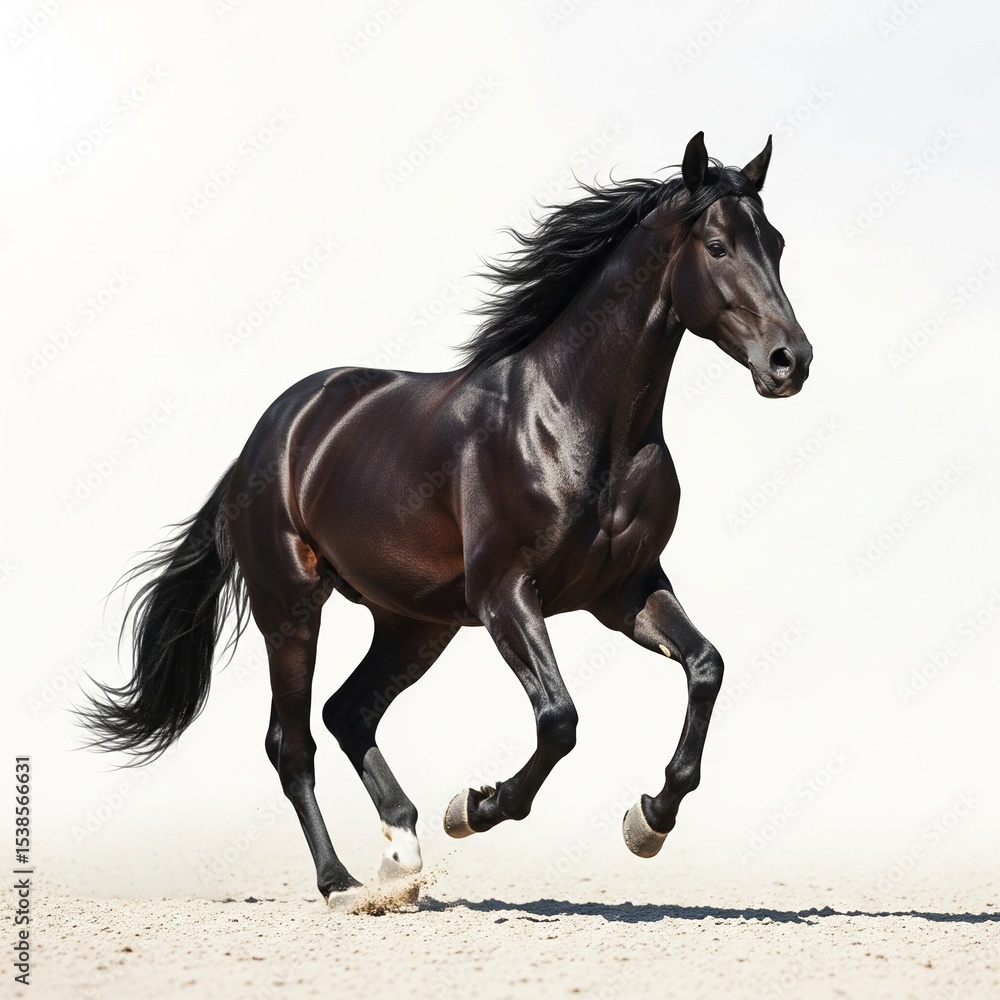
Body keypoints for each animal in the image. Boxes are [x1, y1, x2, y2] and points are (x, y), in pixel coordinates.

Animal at [80, 132, 812, 907]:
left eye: (776, 242)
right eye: (717, 245)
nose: (790, 360)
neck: (578, 424)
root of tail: (267, 438)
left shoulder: (624, 590)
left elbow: (706, 666)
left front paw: (648, 821)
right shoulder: (505, 594)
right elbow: (559, 721)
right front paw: (476, 806)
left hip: (415, 622)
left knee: (348, 712)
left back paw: (402, 855)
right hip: (292, 607)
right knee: (293, 742)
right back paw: (343, 884)